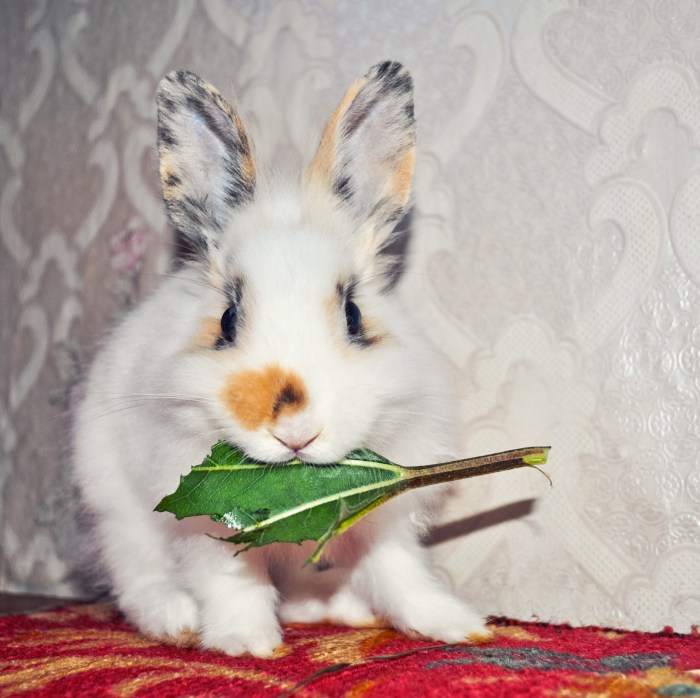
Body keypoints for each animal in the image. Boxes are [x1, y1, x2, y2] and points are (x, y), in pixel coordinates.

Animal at [72, 61, 489, 657]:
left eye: (354, 315)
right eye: (227, 320)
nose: (294, 430)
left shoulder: (380, 515)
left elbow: (398, 572)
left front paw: (455, 624)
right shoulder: (202, 523)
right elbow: (230, 580)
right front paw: (246, 643)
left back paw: (334, 607)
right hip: (114, 507)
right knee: (136, 571)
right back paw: (173, 618)